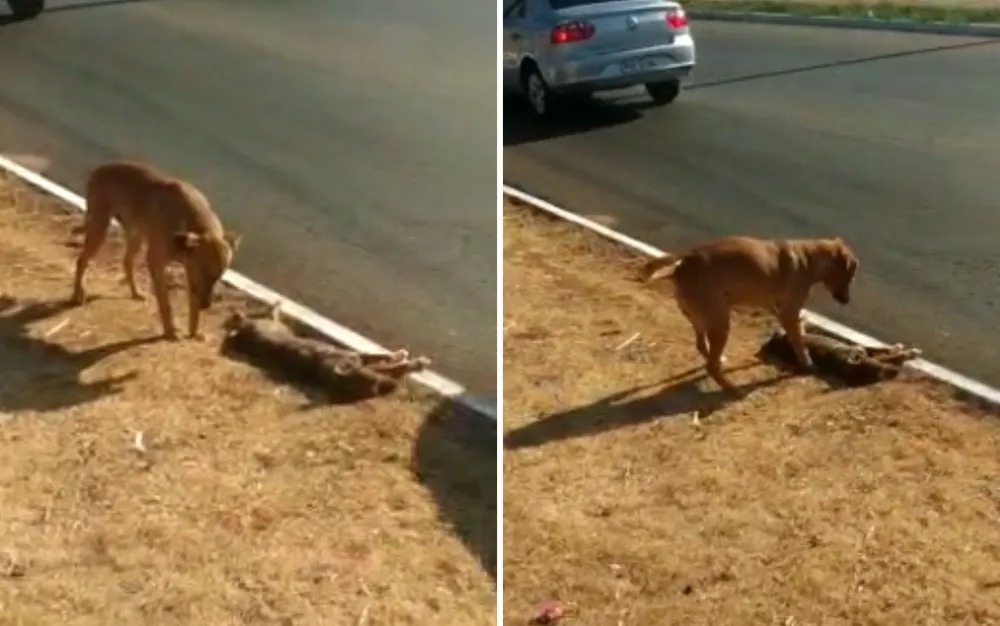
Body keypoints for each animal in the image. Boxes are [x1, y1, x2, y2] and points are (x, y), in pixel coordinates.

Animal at [71, 158, 241, 338]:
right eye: (206, 272)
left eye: (220, 275)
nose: (206, 305)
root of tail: (100, 169)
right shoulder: (158, 263)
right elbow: (165, 302)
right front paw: (170, 330)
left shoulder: (190, 272)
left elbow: (193, 308)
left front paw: (194, 332)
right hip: (100, 228)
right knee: (81, 261)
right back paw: (77, 295)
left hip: (135, 236)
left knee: (126, 261)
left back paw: (135, 292)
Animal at [223, 302, 430, 400]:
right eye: (371, 386)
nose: (387, 388)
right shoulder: (357, 359)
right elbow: (389, 362)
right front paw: (412, 361)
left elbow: (383, 359)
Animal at [640, 234, 860, 390]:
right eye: (850, 276)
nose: (847, 301)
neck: (809, 258)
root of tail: (687, 259)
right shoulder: (788, 313)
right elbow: (799, 342)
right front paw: (807, 362)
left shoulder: (777, 309)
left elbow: (798, 329)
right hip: (720, 322)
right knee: (711, 366)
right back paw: (731, 388)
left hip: (701, 320)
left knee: (703, 347)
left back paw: (719, 362)